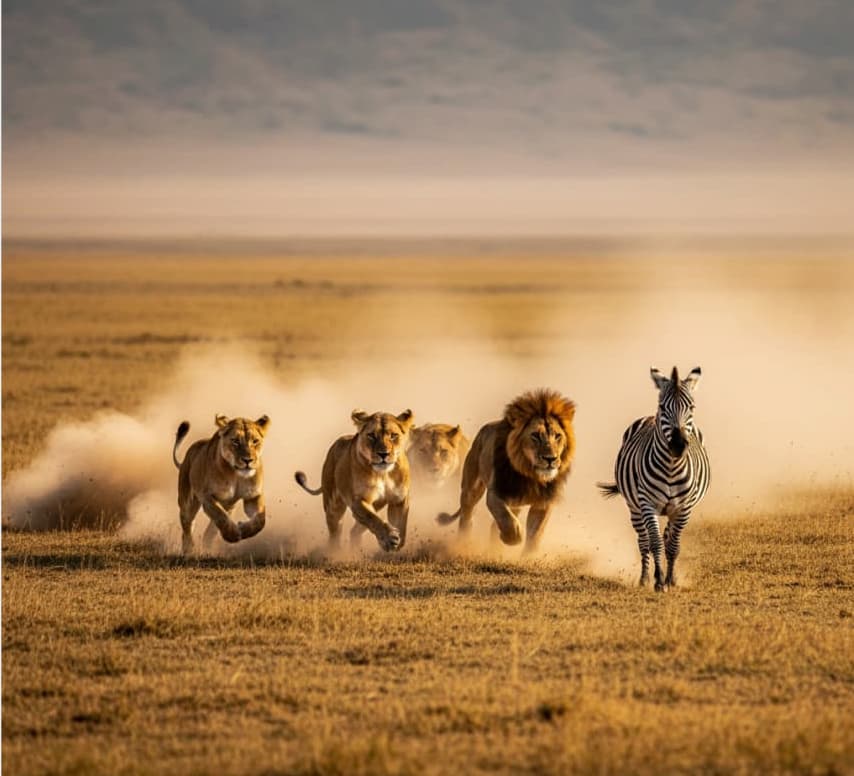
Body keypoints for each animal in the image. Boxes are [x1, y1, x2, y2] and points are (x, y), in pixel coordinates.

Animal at [172, 414, 271, 555]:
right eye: (235, 441)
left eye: (255, 441)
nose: (248, 460)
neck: (236, 475)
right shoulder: (207, 497)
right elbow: (221, 517)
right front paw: (233, 535)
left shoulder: (253, 496)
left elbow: (260, 521)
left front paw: (242, 529)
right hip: (188, 502)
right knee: (187, 527)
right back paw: (189, 550)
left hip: (229, 506)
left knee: (210, 532)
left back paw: (207, 548)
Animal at [294, 409, 414, 552]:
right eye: (371, 435)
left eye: (393, 435)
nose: (383, 454)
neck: (383, 474)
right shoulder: (358, 500)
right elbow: (373, 518)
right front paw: (389, 538)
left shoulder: (399, 500)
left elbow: (399, 524)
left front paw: (395, 544)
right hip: (333, 506)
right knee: (335, 533)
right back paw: (335, 553)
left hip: (376, 505)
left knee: (355, 530)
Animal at [437, 389, 575, 553]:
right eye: (535, 435)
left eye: (558, 436)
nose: (550, 459)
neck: (530, 475)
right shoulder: (495, 493)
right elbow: (506, 518)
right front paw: (513, 538)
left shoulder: (543, 503)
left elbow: (535, 535)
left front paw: (525, 555)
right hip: (471, 489)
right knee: (466, 516)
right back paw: (463, 544)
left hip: (516, 504)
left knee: (492, 525)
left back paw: (495, 550)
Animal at [598, 366, 710, 591]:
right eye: (663, 407)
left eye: (691, 407)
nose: (678, 445)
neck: (671, 467)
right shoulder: (647, 504)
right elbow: (655, 543)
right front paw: (658, 581)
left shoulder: (684, 508)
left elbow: (673, 545)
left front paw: (670, 580)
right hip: (634, 507)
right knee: (644, 541)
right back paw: (643, 579)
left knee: (668, 538)